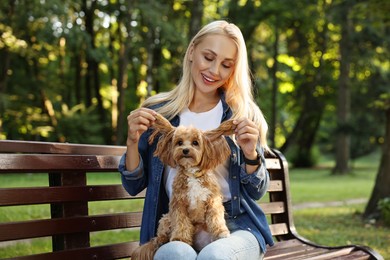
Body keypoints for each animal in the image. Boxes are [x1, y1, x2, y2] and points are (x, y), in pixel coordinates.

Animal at [132, 114, 235, 260]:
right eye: (179, 142)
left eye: (195, 142)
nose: (185, 150)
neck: (192, 173)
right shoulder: (179, 204)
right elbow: (181, 223)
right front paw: (180, 239)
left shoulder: (213, 200)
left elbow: (216, 218)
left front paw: (221, 232)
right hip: (166, 219)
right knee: (161, 235)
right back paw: (162, 240)